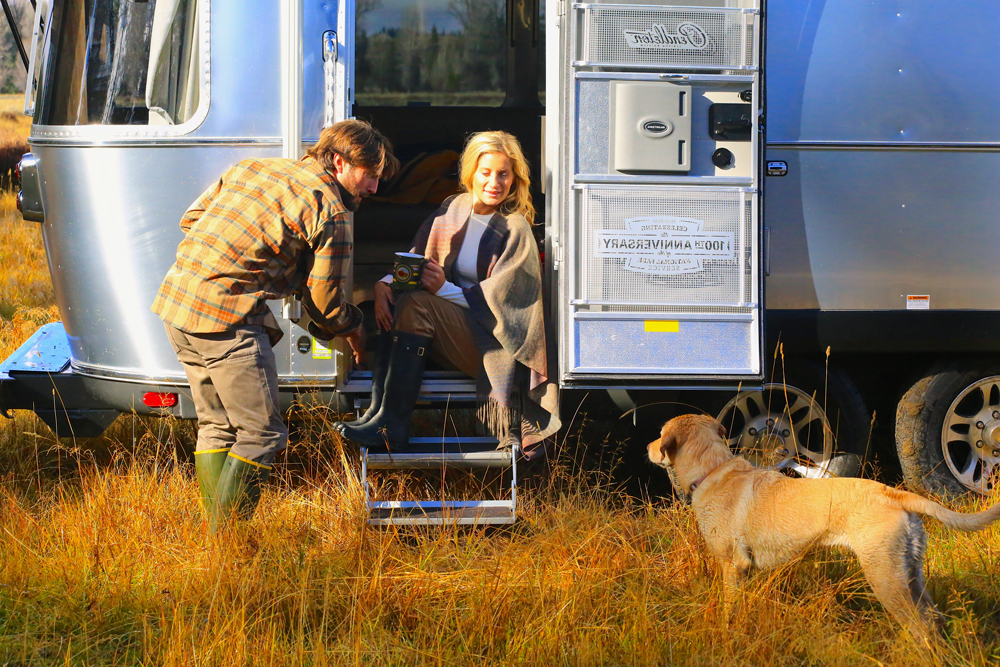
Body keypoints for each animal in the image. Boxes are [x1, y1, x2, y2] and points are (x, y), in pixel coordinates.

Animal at [648, 414, 1000, 640]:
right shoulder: (746, 571)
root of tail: (893, 493)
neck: (714, 470)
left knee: (921, 626)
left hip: (885, 576)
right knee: (934, 620)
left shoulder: (733, 566)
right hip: (910, 574)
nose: (647, 448)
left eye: (660, 434)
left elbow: (728, 613)